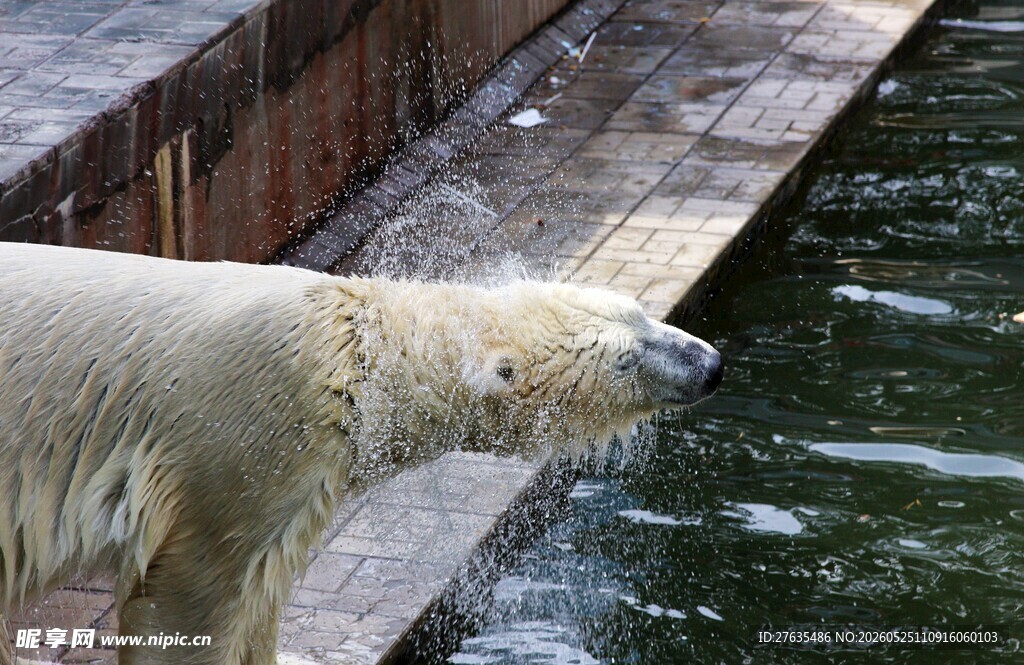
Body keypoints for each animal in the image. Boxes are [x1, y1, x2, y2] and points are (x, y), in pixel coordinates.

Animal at [0, 241, 722, 665]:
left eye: (642, 313)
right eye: (625, 358)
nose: (711, 364)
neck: (351, 355)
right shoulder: (236, 444)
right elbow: (189, 599)